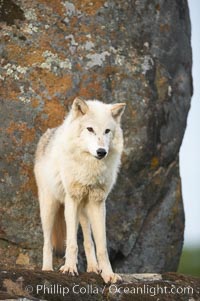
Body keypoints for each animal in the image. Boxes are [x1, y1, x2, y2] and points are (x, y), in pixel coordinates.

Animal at [34, 97, 125, 282]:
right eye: (90, 129)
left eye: (107, 131)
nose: (101, 151)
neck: (90, 167)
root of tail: (48, 133)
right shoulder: (72, 199)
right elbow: (71, 243)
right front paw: (69, 268)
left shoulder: (98, 202)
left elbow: (101, 246)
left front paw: (108, 274)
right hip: (50, 208)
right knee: (47, 242)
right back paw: (47, 269)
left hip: (84, 210)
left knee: (88, 240)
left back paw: (93, 268)